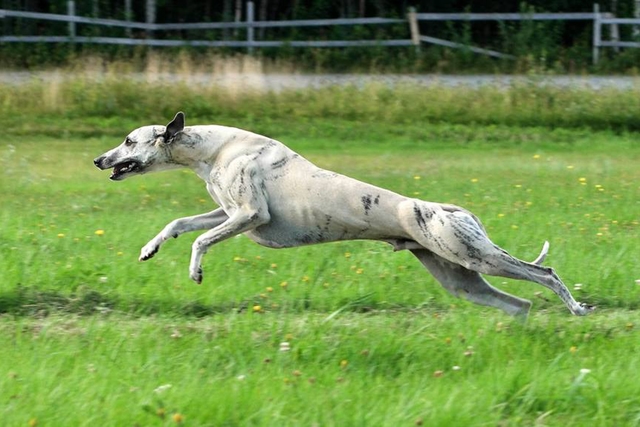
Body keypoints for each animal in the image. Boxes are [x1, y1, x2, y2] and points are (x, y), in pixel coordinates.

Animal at [95, 112, 596, 320]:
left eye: (129, 140)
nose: (99, 160)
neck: (213, 148)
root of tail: (450, 209)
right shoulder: (227, 210)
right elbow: (180, 225)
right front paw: (149, 248)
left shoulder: (249, 215)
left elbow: (201, 239)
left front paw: (195, 272)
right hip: (460, 277)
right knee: (520, 304)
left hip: (475, 256)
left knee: (545, 273)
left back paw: (576, 308)